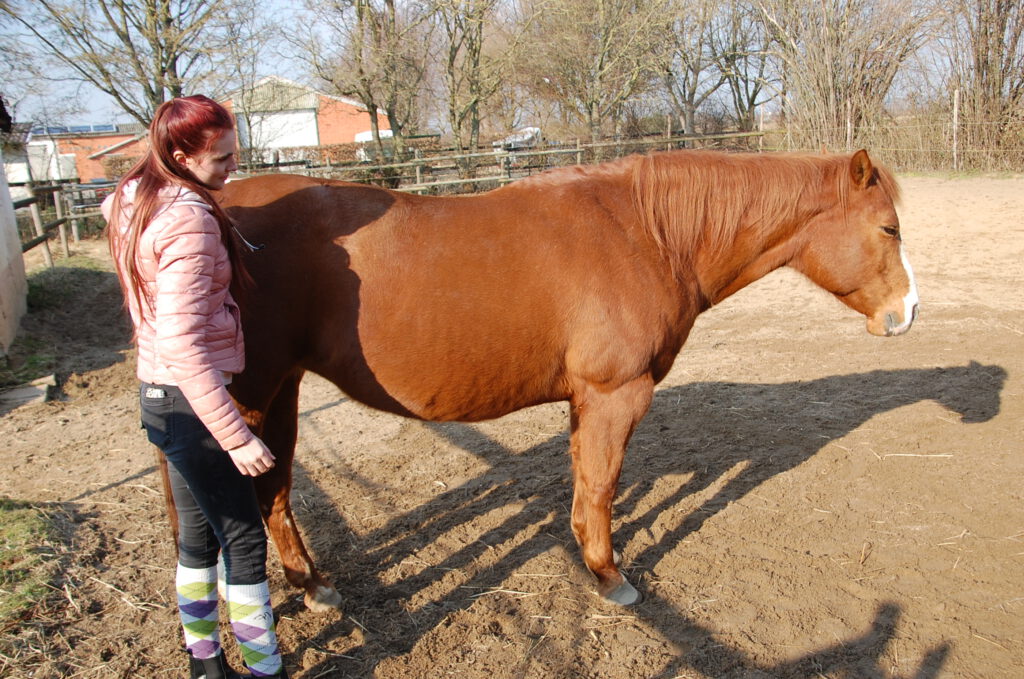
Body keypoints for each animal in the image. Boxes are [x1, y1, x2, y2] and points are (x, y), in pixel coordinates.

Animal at [159, 147, 921, 610]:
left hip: (278, 394)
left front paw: (590, 557)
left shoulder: (588, 400)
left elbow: (585, 481)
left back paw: (311, 584)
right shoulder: (617, 394)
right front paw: (611, 577)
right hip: (250, 399)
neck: (648, 232)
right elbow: (604, 485)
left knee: (273, 494)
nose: (907, 312)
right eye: (888, 228)